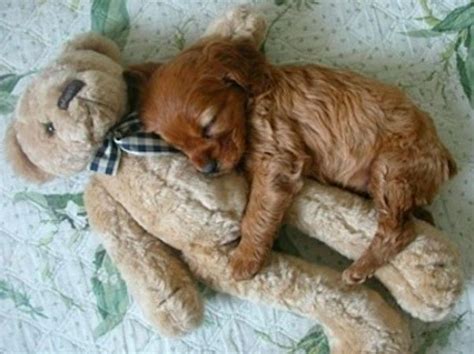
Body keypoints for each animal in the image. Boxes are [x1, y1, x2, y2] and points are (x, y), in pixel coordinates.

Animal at [136, 36, 456, 284]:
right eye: (177, 146)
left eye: (210, 125)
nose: (208, 169)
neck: (253, 97)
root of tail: (443, 155)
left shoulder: (275, 158)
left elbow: (256, 214)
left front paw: (245, 258)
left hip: (391, 169)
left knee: (399, 231)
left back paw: (359, 269)